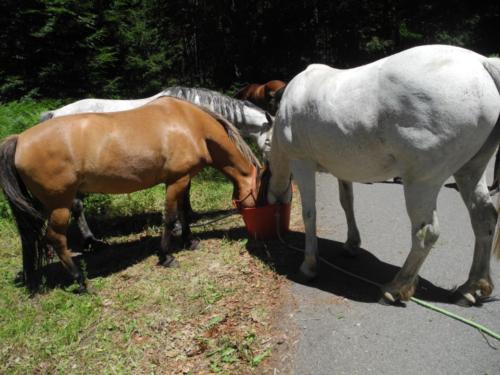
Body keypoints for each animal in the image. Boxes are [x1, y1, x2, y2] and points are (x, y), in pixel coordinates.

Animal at [0, 97, 268, 294]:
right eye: (260, 193)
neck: (191, 124)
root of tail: (19, 138)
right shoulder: (176, 181)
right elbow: (170, 218)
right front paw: (167, 256)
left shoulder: (184, 179)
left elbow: (184, 212)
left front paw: (190, 241)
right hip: (60, 205)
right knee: (56, 238)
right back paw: (81, 280)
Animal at [268, 45, 500, 306]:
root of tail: (481, 62)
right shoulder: (342, 170)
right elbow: (347, 203)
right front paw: (351, 244)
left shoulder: (302, 163)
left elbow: (310, 214)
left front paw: (309, 266)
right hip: (470, 171)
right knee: (484, 219)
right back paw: (472, 286)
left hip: (421, 182)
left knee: (427, 232)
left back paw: (396, 287)